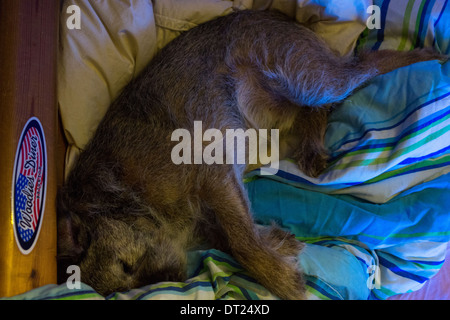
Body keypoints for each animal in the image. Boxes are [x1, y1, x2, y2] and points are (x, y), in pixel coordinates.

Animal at [57, 10, 446, 300]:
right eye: (131, 283)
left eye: (128, 266)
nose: (175, 274)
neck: (122, 195)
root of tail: (272, 13)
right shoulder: (215, 205)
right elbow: (237, 236)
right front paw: (277, 242)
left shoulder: (213, 174)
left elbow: (242, 242)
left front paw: (281, 280)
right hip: (290, 98)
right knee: (318, 107)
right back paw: (312, 147)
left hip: (309, 75)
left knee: (369, 63)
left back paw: (428, 56)